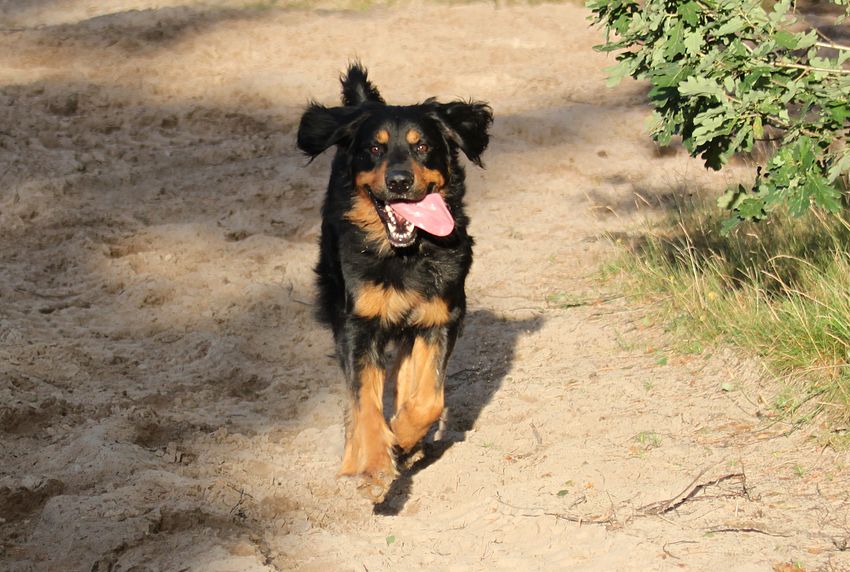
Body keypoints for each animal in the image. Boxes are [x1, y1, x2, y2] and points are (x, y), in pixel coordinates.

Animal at [297, 64, 492, 502]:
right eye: (374, 148)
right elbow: (365, 403)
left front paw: (402, 437)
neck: (404, 254)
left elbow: (429, 398)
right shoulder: (358, 324)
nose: (400, 181)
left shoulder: (442, 316)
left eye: (423, 147)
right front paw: (371, 465)